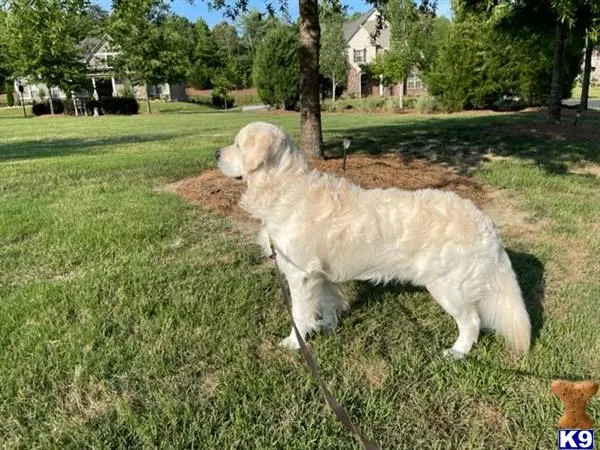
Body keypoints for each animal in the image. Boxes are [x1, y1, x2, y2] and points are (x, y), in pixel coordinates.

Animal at [214, 120, 528, 358]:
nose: (216, 153)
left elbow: (300, 313)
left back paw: (458, 352)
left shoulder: (300, 274)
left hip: (448, 287)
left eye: (238, 145)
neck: (283, 187)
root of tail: (486, 222)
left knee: (472, 321)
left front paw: (294, 343)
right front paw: (328, 326)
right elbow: (329, 302)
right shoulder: (321, 274)